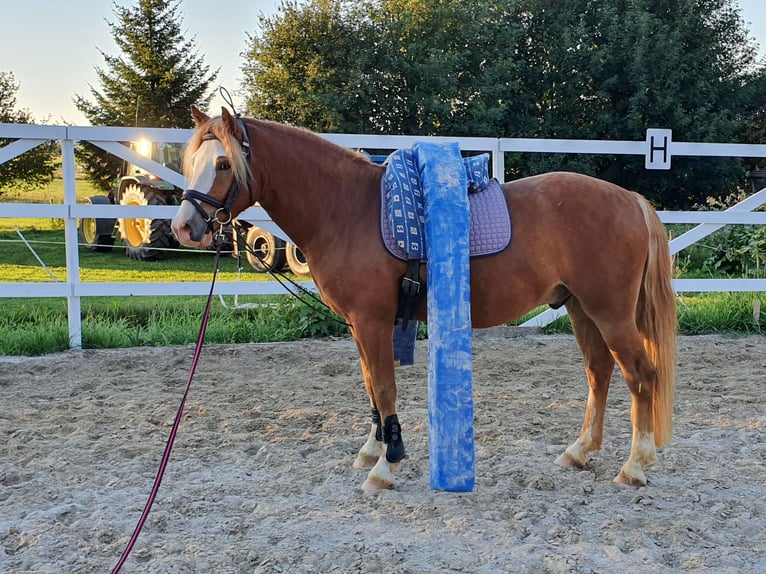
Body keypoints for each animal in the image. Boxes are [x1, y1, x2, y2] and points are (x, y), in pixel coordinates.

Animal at [172, 107, 680, 490]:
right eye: (191, 163)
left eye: (223, 164)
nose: (184, 228)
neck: (345, 209)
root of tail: (631, 199)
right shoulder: (359, 326)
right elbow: (371, 387)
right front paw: (373, 448)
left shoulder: (373, 321)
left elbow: (384, 387)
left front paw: (387, 464)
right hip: (580, 309)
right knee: (599, 373)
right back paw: (579, 452)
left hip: (610, 313)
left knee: (640, 376)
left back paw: (635, 465)